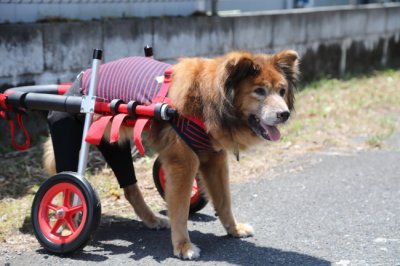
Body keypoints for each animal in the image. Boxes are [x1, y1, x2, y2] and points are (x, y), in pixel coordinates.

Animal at [44, 48, 300, 258]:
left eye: (281, 91)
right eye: (259, 91)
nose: (284, 114)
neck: (208, 98)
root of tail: (79, 82)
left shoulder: (214, 159)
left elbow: (224, 201)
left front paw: (234, 230)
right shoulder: (183, 164)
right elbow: (180, 211)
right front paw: (183, 247)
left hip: (112, 142)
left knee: (130, 188)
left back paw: (151, 219)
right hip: (69, 129)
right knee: (68, 187)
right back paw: (66, 225)